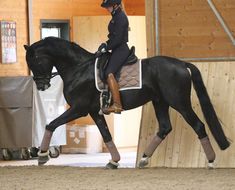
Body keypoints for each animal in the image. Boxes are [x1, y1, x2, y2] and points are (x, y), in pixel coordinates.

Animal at [23, 36, 229, 168]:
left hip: (179, 103)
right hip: (160, 102)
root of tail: (182, 63)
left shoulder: (79, 109)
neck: (78, 68)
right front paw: (114, 161)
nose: (41, 86)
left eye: (34, 61)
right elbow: (106, 135)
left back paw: (211, 161)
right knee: (164, 127)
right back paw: (144, 159)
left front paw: (42, 156)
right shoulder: (93, 111)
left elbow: (51, 124)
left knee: (198, 125)